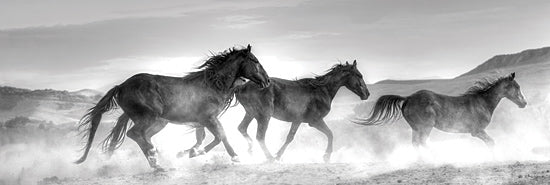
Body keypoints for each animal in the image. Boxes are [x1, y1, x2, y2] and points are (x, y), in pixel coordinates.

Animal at [73, 44, 272, 171]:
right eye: (254, 60)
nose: (267, 81)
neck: (212, 84)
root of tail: (120, 86)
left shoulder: (201, 121)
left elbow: (204, 139)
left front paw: (187, 153)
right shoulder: (208, 118)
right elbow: (220, 136)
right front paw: (234, 156)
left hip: (158, 122)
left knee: (143, 137)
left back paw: (157, 159)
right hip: (149, 117)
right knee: (135, 134)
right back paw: (156, 159)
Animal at [356, 72, 528, 150]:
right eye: (516, 87)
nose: (524, 103)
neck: (483, 102)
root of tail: (408, 98)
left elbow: (491, 143)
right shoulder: (477, 131)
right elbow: (492, 143)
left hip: (416, 128)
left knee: (416, 144)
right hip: (425, 127)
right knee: (422, 143)